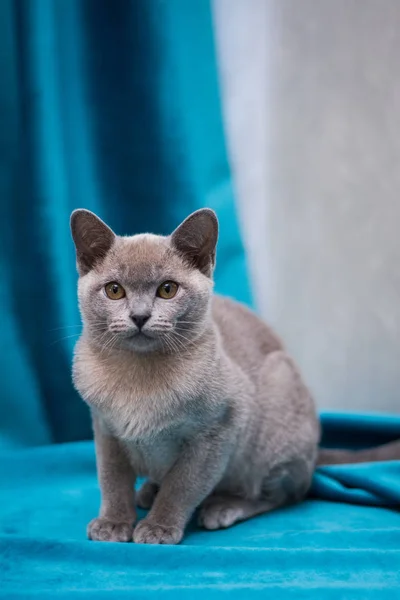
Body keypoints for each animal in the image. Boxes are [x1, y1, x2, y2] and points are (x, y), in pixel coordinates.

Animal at [71, 209, 400, 548]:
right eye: (114, 290)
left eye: (167, 289)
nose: (139, 316)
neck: (138, 376)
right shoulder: (106, 430)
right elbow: (112, 482)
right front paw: (114, 523)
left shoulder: (217, 432)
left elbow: (181, 486)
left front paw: (158, 527)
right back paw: (148, 492)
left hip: (272, 421)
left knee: (282, 494)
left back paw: (223, 507)